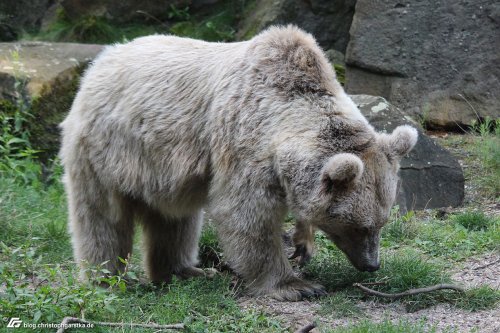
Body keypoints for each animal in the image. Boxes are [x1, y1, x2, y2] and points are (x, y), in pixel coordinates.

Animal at [58, 24, 418, 300]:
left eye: (383, 221)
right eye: (359, 226)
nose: (372, 264)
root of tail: (102, 59)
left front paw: (303, 243)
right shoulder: (243, 140)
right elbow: (246, 215)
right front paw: (296, 285)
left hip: (161, 166)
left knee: (175, 220)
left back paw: (185, 271)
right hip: (105, 149)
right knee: (102, 216)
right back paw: (104, 277)